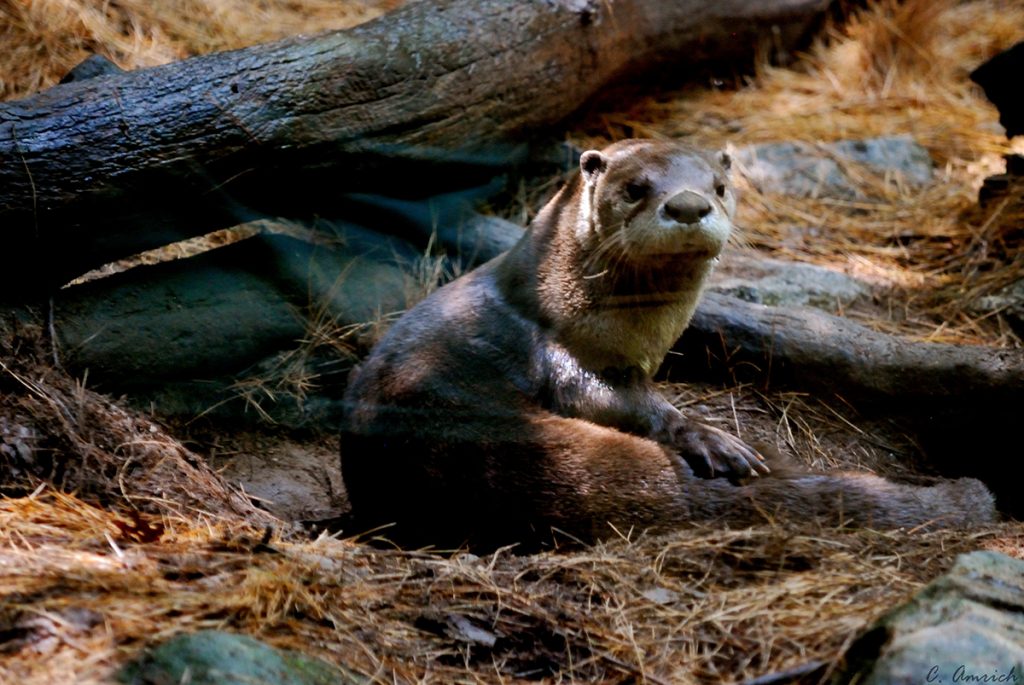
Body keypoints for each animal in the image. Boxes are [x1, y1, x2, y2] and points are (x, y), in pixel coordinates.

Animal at [339, 140, 995, 548]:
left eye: (721, 185)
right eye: (635, 188)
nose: (687, 204)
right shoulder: (551, 343)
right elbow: (602, 394)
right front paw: (711, 439)